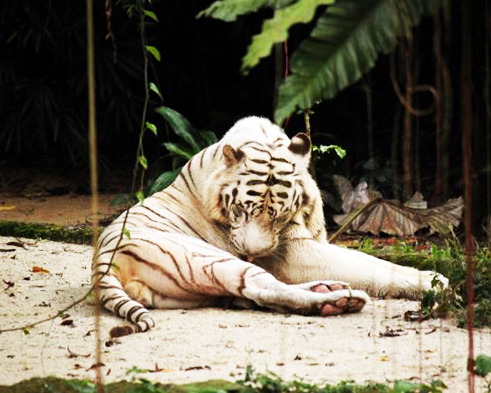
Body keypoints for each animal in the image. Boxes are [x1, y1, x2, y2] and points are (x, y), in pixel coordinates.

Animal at [93, 116, 450, 336]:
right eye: (240, 210)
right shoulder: (291, 252)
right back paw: (341, 299)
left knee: (255, 294)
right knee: (258, 286)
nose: (254, 253)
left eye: (278, 215)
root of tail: (100, 263)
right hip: (210, 258)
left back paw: (331, 294)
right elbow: (369, 263)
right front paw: (431, 279)